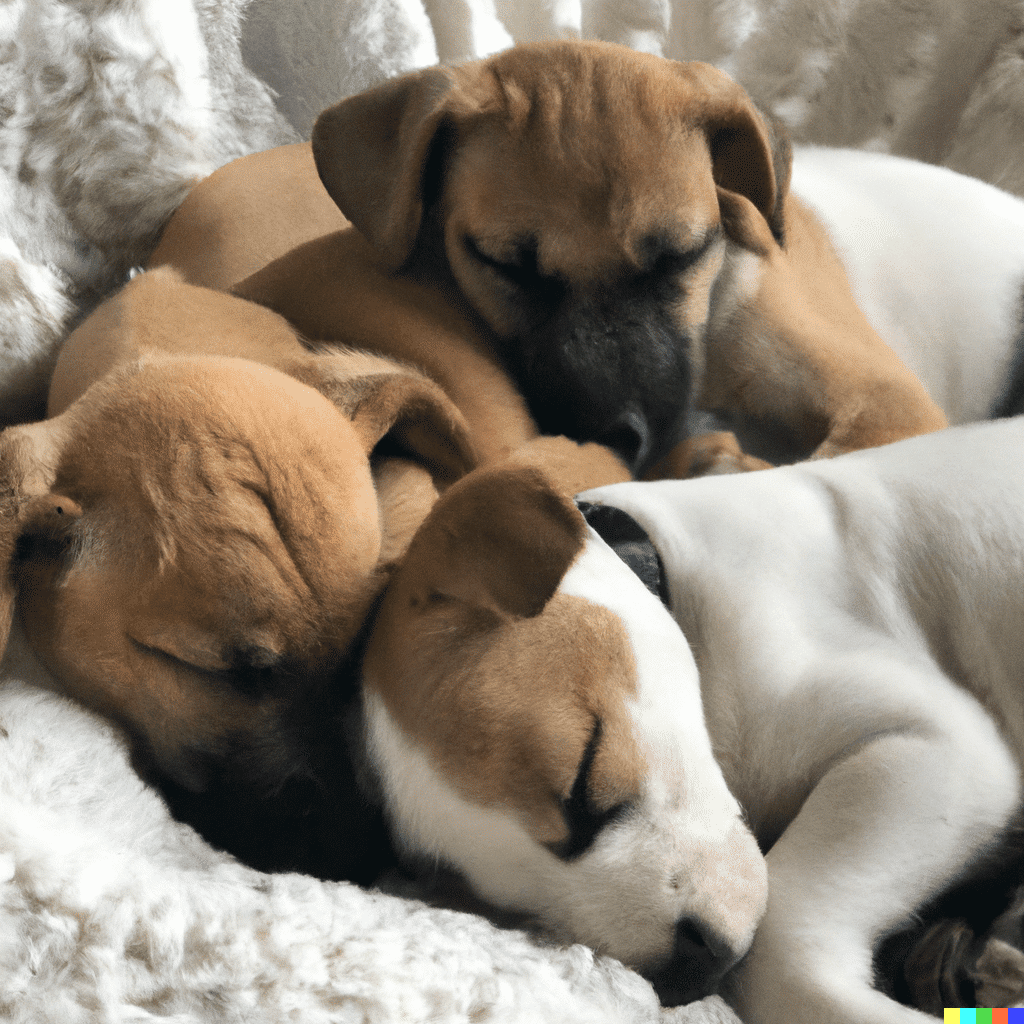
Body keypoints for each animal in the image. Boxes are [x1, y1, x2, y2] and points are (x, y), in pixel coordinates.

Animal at [362, 415, 1024, 1015]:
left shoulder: (939, 748)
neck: (668, 574)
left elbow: (780, 946)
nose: (692, 972)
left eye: (584, 781)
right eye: (504, 904)